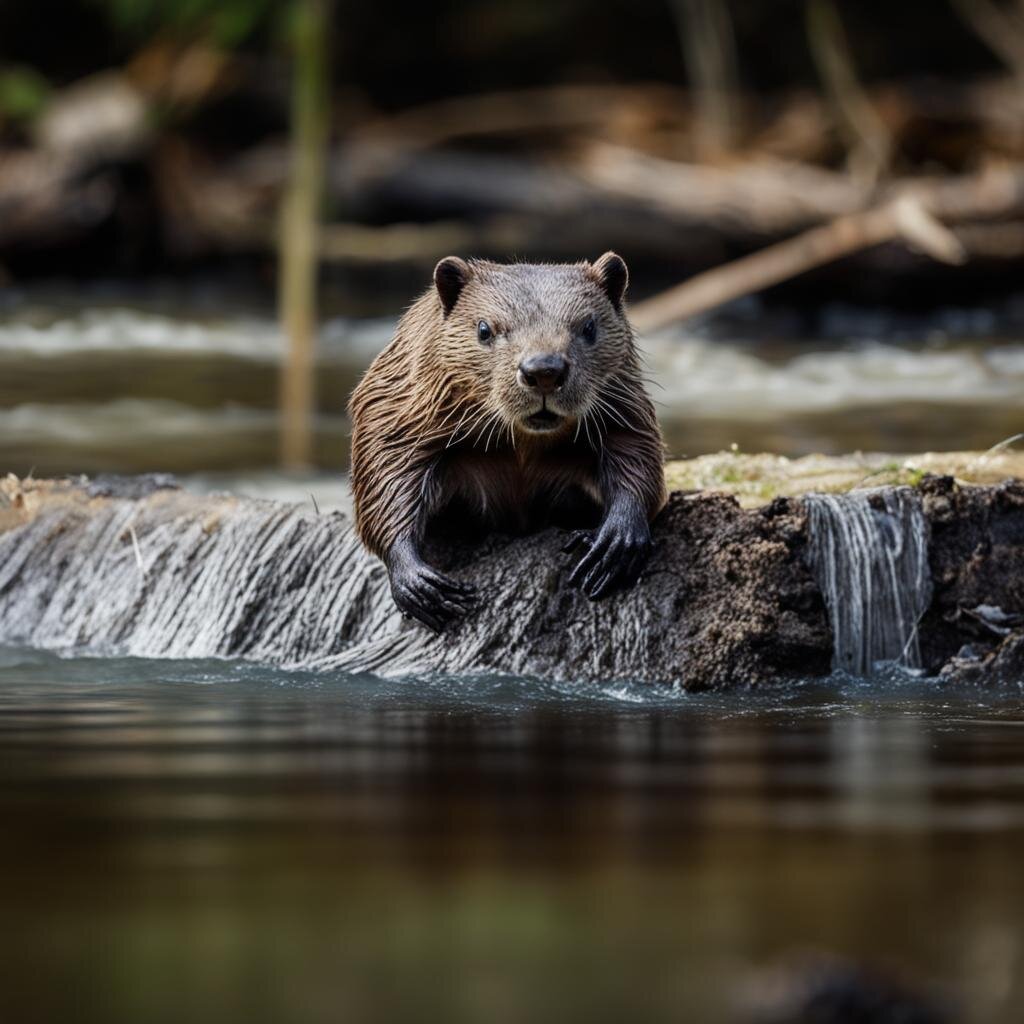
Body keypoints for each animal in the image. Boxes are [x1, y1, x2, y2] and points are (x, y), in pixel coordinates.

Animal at [352, 251, 667, 626]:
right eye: (484, 329)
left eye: (589, 327)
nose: (544, 371)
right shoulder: (405, 396)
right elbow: (386, 460)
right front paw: (424, 588)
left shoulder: (623, 396)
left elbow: (635, 447)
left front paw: (612, 548)